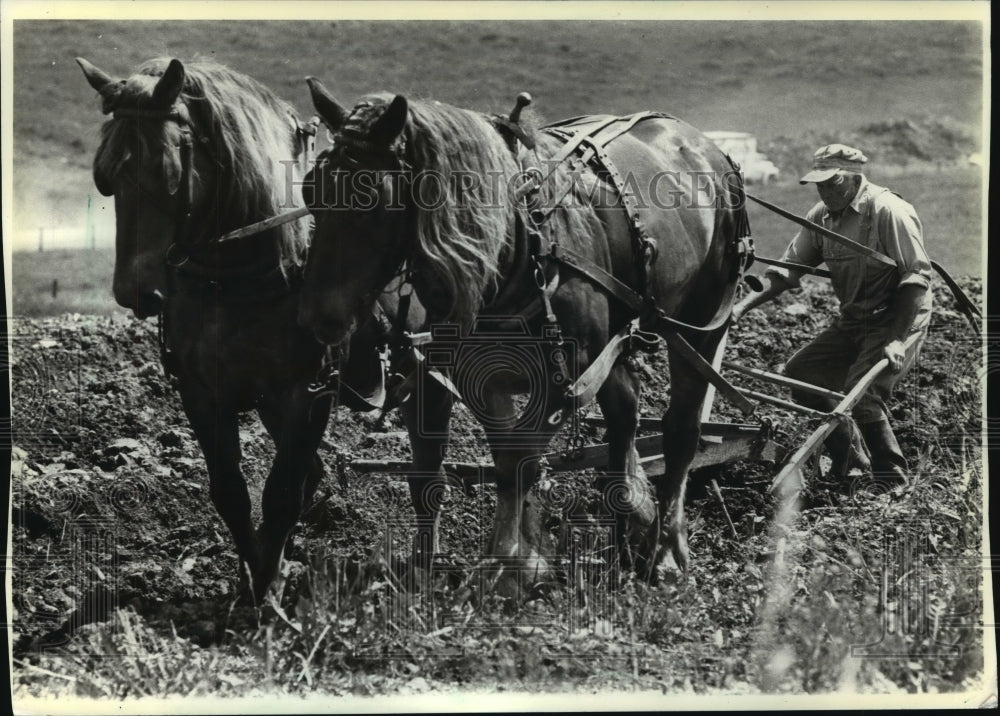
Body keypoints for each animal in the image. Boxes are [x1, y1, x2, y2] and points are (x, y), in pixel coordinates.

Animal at [76, 58, 382, 600]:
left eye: (168, 172)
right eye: (105, 178)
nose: (135, 292)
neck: (240, 280)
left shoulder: (310, 393)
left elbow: (282, 491)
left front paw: (267, 592)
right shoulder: (202, 392)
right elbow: (231, 491)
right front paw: (254, 576)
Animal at [300, 79, 748, 580]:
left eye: (373, 198)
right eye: (310, 190)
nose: (319, 317)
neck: (517, 249)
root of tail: (705, 145)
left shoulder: (565, 377)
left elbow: (520, 458)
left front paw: (511, 562)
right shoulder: (475, 374)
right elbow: (496, 458)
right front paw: (506, 556)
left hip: (703, 323)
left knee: (681, 430)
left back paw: (667, 551)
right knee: (624, 416)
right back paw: (627, 528)